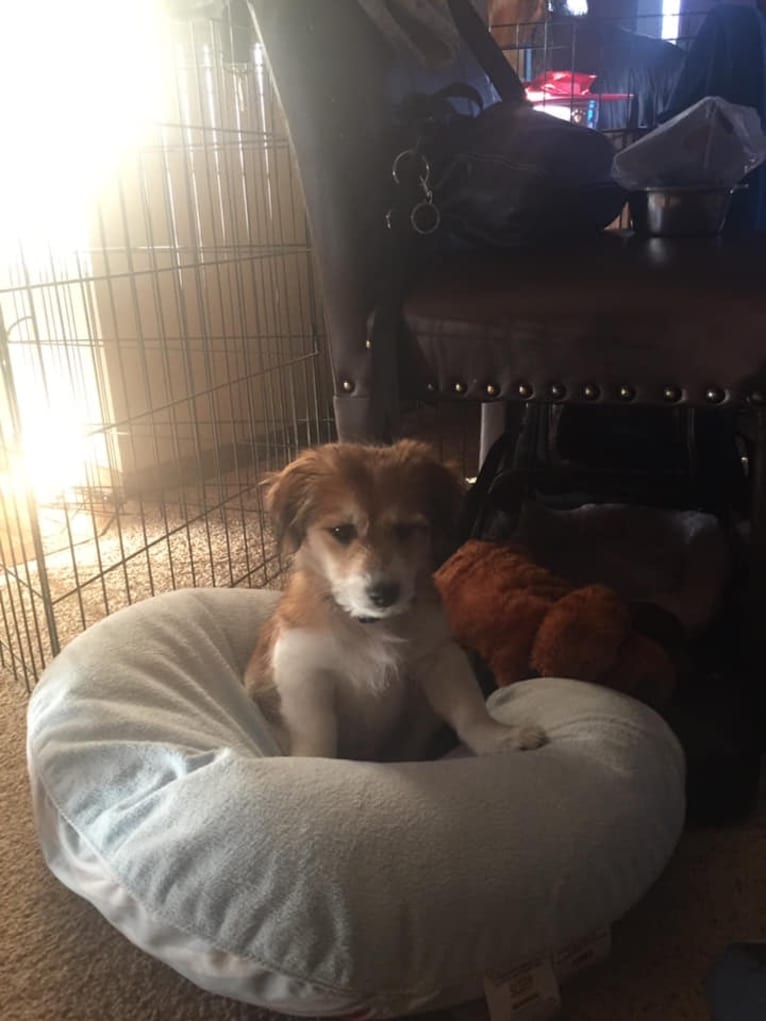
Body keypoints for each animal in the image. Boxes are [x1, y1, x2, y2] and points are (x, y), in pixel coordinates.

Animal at [246, 439, 547, 759]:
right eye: (341, 531)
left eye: (405, 529)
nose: (384, 594)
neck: (368, 626)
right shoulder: (303, 671)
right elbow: (316, 738)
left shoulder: (440, 656)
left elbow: (469, 709)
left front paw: (499, 738)